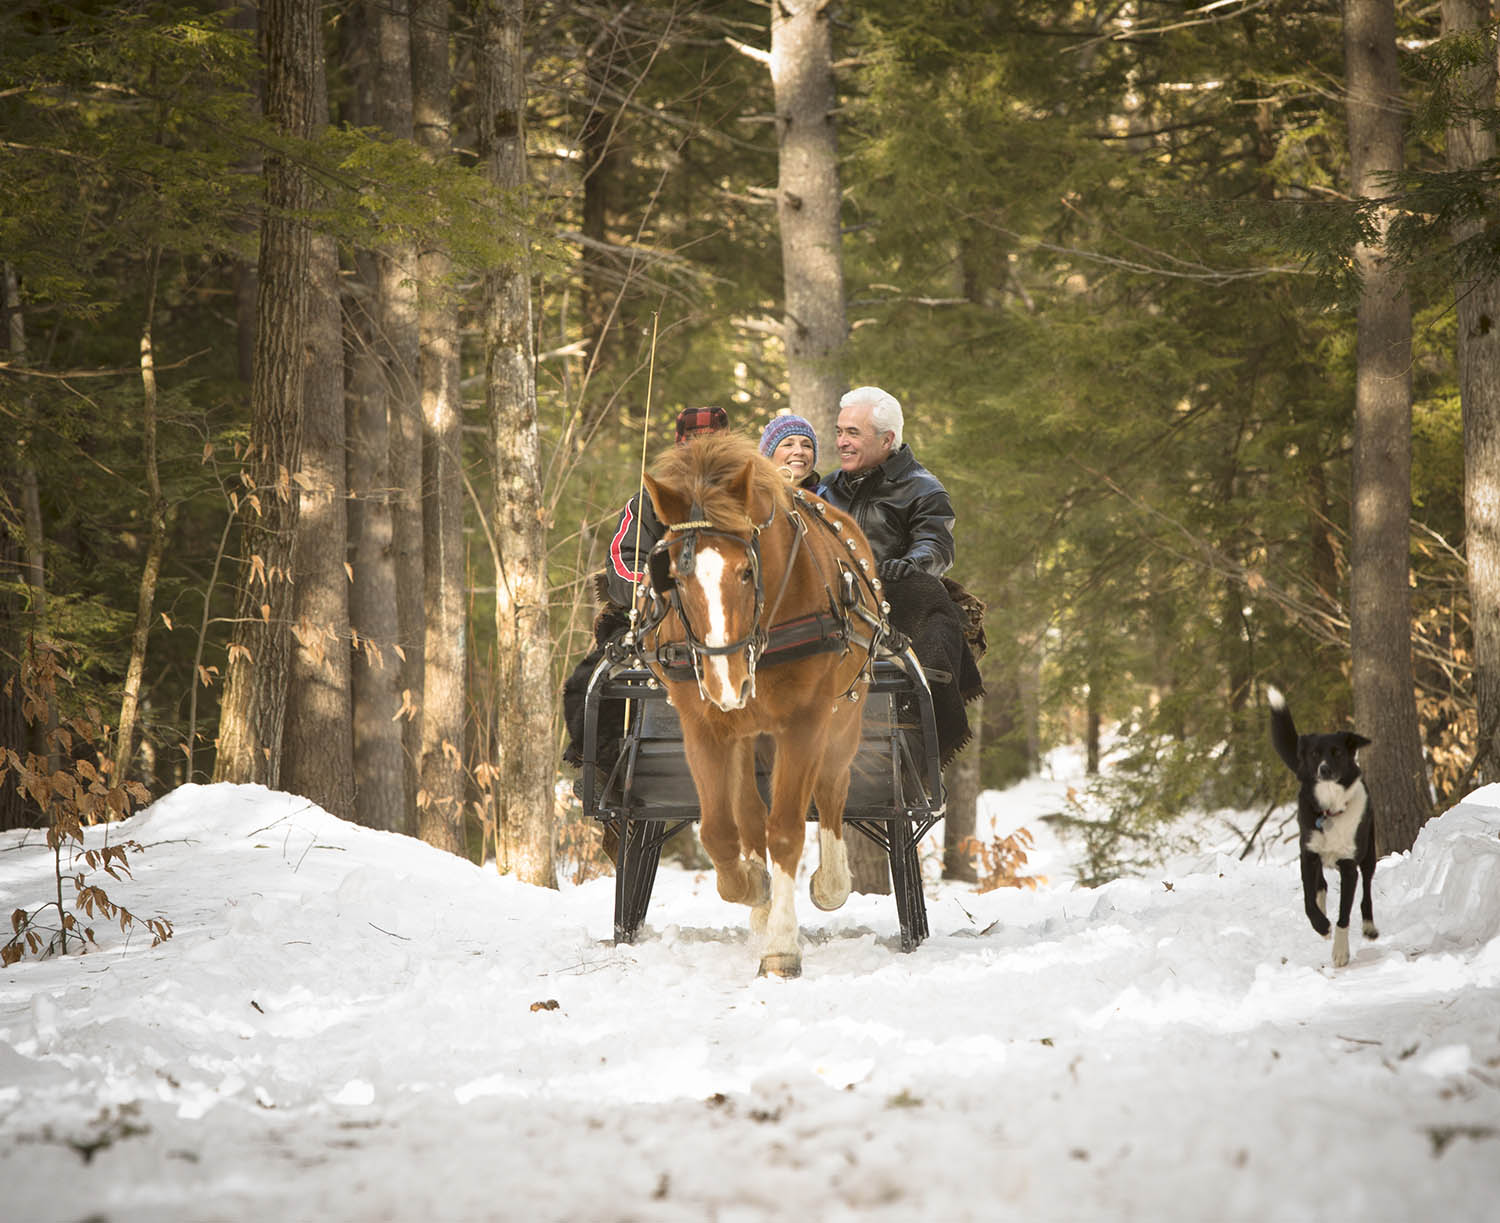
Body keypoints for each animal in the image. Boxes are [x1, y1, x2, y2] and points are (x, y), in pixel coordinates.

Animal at [632, 432, 892, 977]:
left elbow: (787, 830)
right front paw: (753, 888)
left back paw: (830, 884)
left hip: (845, 713)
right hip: (746, 731)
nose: (726, 681)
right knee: (748, 813)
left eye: (746, 570)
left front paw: (781, 946)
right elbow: (719, 831)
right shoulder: (703, 723)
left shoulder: (805, 720)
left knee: (832, 788)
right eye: (675, 578)